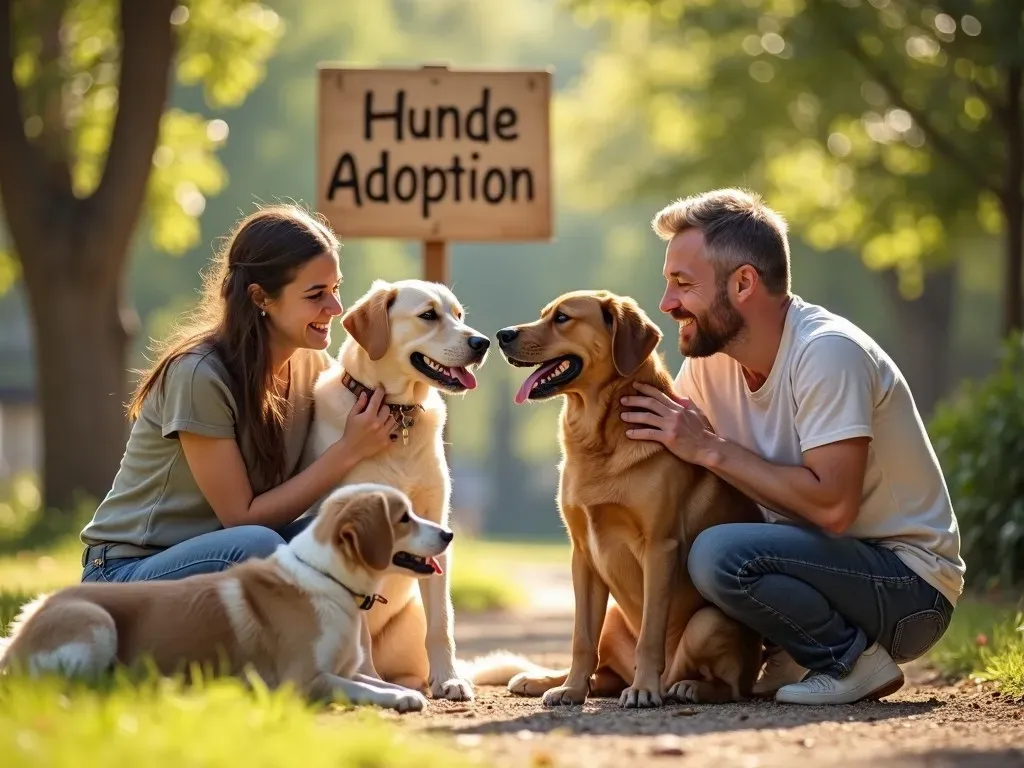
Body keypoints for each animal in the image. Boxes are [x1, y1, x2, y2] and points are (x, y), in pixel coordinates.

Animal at [0, 487, 452, 716]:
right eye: (404, 517)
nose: (448, 534)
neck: (329, 581)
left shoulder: (341, 668)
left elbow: (376, 680)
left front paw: (409, 691)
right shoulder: (303, 679)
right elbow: (360, 688)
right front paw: (402, 698)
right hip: (95, 621)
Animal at [303, 278, 491, 704]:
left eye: (459, 315)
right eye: (428, 315)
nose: (483, 343)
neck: (399, 416)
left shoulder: (437, 523)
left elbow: (442, 622)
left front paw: (449, 679)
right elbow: (361, 635)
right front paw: (369, 680)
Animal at [491, 290, 765, 708]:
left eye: (562, 318)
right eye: (544, 314)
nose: (502, 335)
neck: (599, 436)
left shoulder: (659, 549)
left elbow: (650, 636)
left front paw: (643, 690)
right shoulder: (583, 556)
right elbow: (580, 640)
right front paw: (571, 689)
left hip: (707, 623)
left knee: (729, 687)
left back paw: (683, 687)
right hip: (614, 618)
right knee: (604, 673)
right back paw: (545, 680)